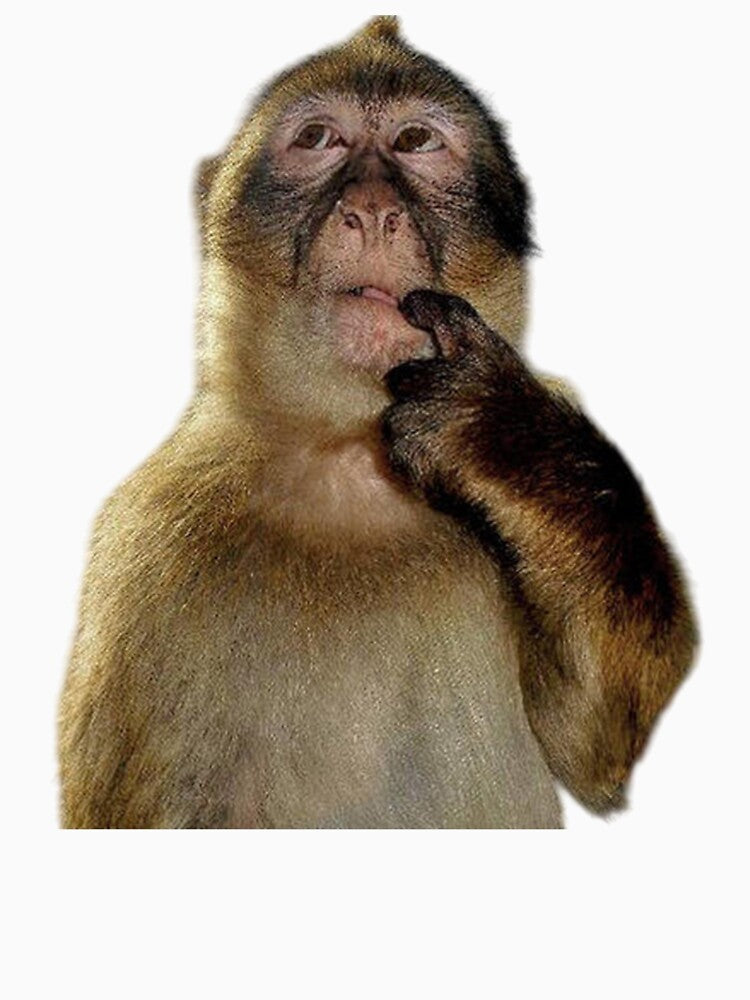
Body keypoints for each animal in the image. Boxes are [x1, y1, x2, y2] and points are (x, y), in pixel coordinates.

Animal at [58, 16, 696, 828]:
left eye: (416, 140)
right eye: (319, 139)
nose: (370, 211)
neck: (349, 456)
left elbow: (594, 740)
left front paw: (501, 433)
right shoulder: (147, 548)